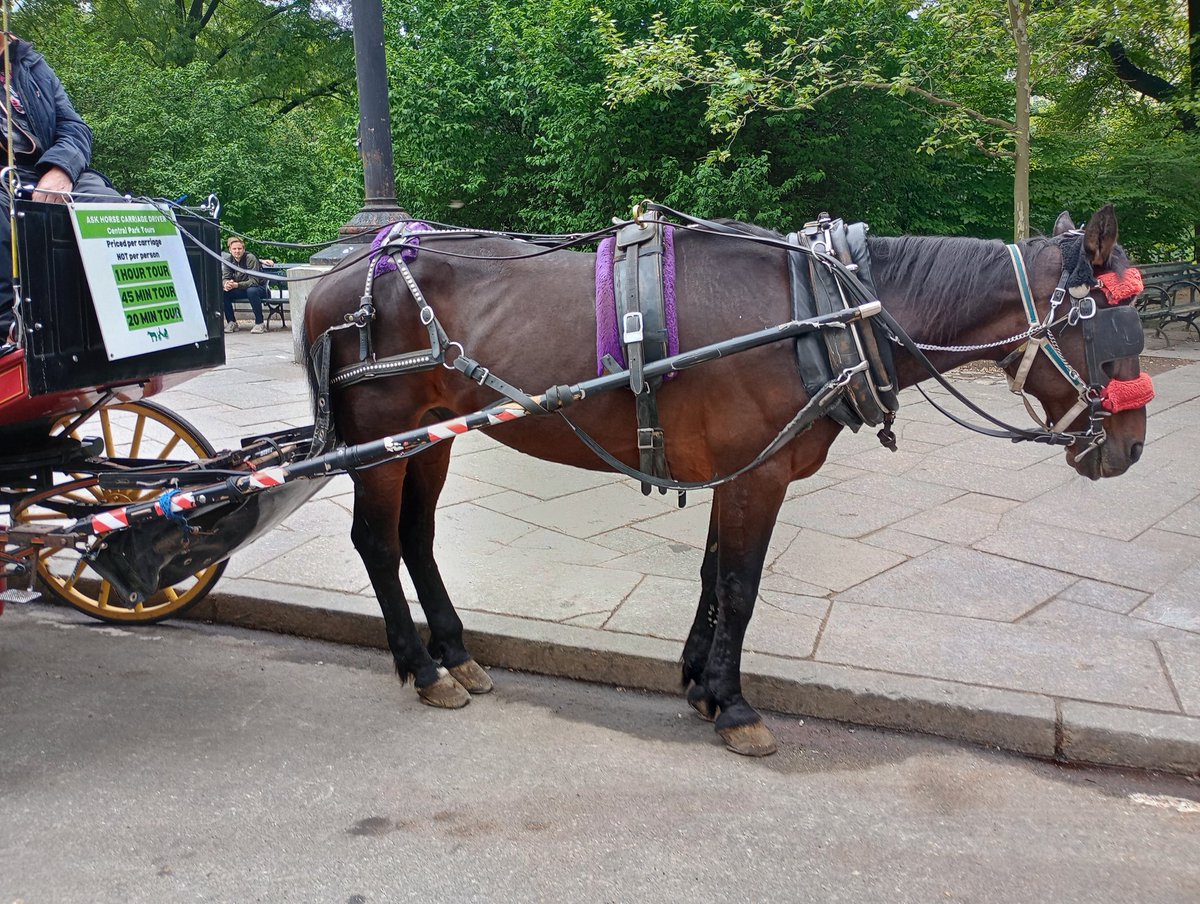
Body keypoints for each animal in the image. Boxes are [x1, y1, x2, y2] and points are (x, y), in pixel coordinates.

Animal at [304, 204, 1147, 753]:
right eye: (1115, 328)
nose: (1134, 449)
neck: (825, 313)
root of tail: (342, 270)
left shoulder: (738, 471)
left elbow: (714, 576)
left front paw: (701, 683)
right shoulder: (758, 476)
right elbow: (740, 586)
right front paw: (736, 706)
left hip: (431, 436)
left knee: (417, 537)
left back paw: (453, 653)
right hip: (379, 440)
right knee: (377, 541)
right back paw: (421, 668)